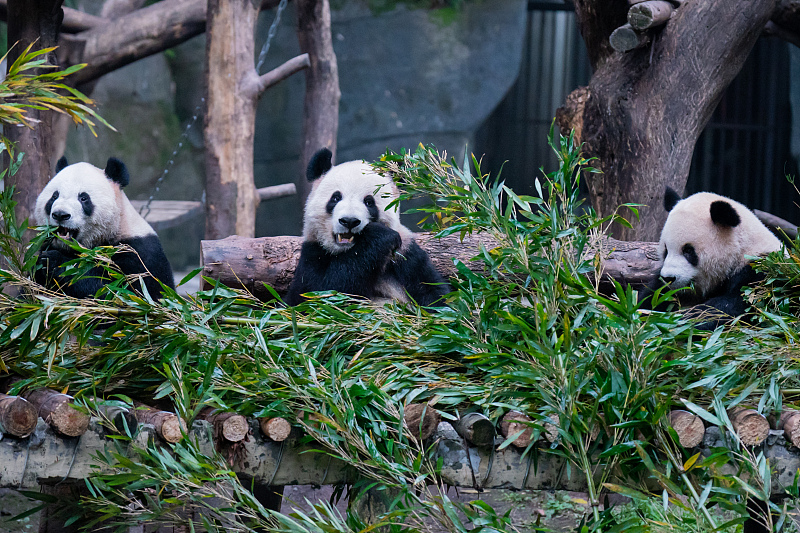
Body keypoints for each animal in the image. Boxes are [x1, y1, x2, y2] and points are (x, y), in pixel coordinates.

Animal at [33, 156, 175, 300]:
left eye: (83, 198)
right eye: (54, 196)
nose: (60, 214)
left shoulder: (140, 252)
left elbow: (121, 291)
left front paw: (53, 261)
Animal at [286, 148, 450, 307]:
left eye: (369, 202)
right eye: (336, 197)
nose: (349, 221)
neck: (348, 252)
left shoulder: (406, 255)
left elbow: (435, 294)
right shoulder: (312, 253)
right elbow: (319, 295)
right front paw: (378, 235)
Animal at [642, 186, 781, 328]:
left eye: (688, 251)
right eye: (666, 250)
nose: (668, 278)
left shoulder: (760, 271)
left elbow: (734, 306)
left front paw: (682, 320)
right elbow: (653, 296)